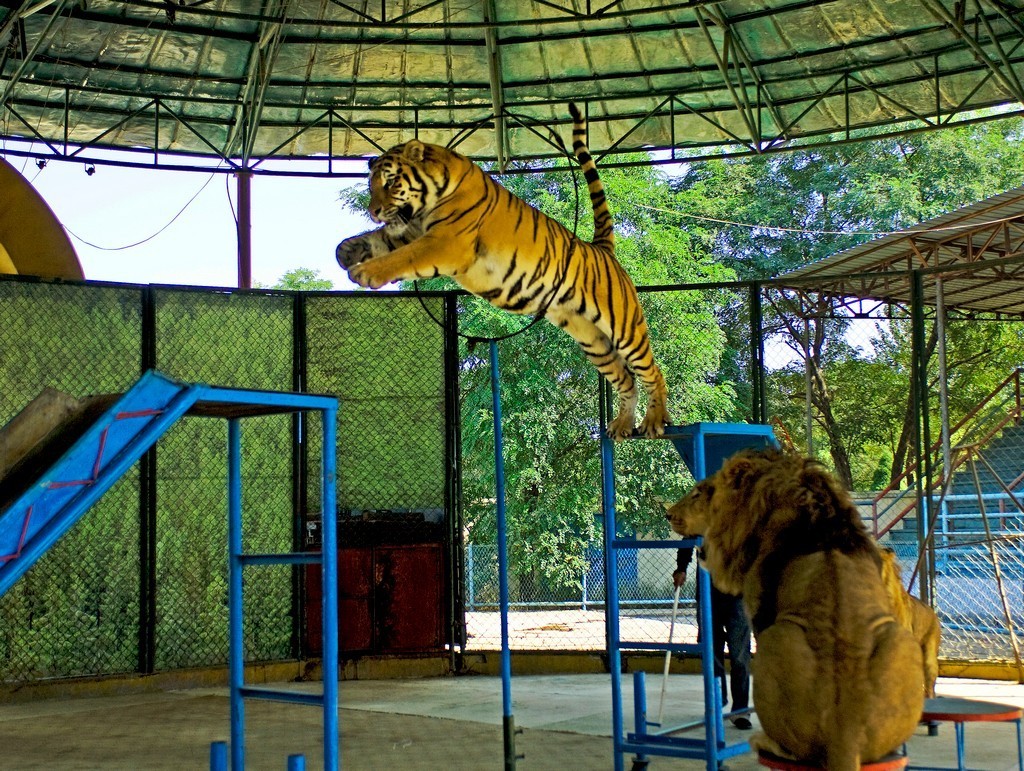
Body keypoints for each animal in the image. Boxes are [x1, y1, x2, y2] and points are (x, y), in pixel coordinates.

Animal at [335, 103, 671, 438]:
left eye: (391, 182)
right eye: (371, 185)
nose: (373, 211)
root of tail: (602, 248)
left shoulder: (445, 241)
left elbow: (403, 257)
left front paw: (366, 272)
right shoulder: (411, 231)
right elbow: (379, 240)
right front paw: (347, 252)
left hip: (624, 327)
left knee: (653, 371)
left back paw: (654, 421)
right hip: (593, 341)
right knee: (626, 380)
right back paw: (623, 424)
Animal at [667, 448, 925, 765]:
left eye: (700, 492)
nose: (668, 514)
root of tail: (846, 733)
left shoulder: (759, 606)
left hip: (775, 638)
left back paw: (762, 741)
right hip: (902, 639)